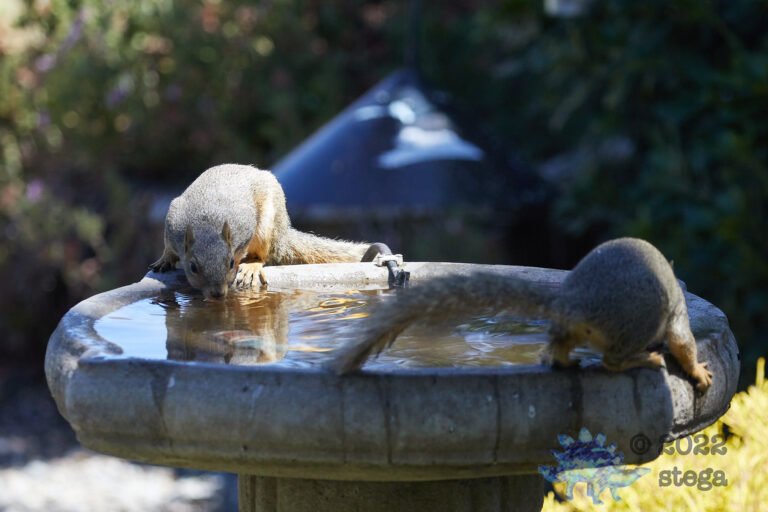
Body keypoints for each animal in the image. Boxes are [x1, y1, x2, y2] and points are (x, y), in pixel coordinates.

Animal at [150, 164, 387, 299]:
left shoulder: (243, 234)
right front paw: (165, 259)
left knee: (263, 254)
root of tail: (282, 230)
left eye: (230, 263)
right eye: (192, 267)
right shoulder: (173, 223)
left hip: (266, 228)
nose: (218, 294)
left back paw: (252, 267)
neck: (207, 224)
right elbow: (168, 246)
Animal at [323, 237, 713, 392]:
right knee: (613, 361)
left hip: (571, 329)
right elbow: (683, 343)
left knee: (558, 350)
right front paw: (699, 372)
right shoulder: (677, 317)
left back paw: (564, 361)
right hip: (636, 322)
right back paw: (644, 359)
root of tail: (574, 301)